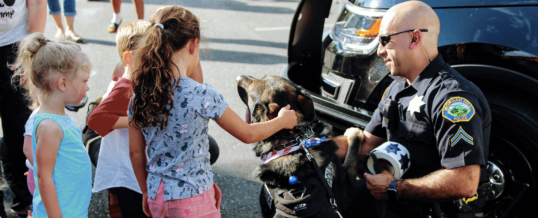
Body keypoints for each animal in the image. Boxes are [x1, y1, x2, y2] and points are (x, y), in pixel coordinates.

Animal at [233, 75, 360, 218]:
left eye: (251, 86)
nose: (238, 77)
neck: (294, 139)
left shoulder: (349, 190)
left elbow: (353, 153)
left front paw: (355, 132)